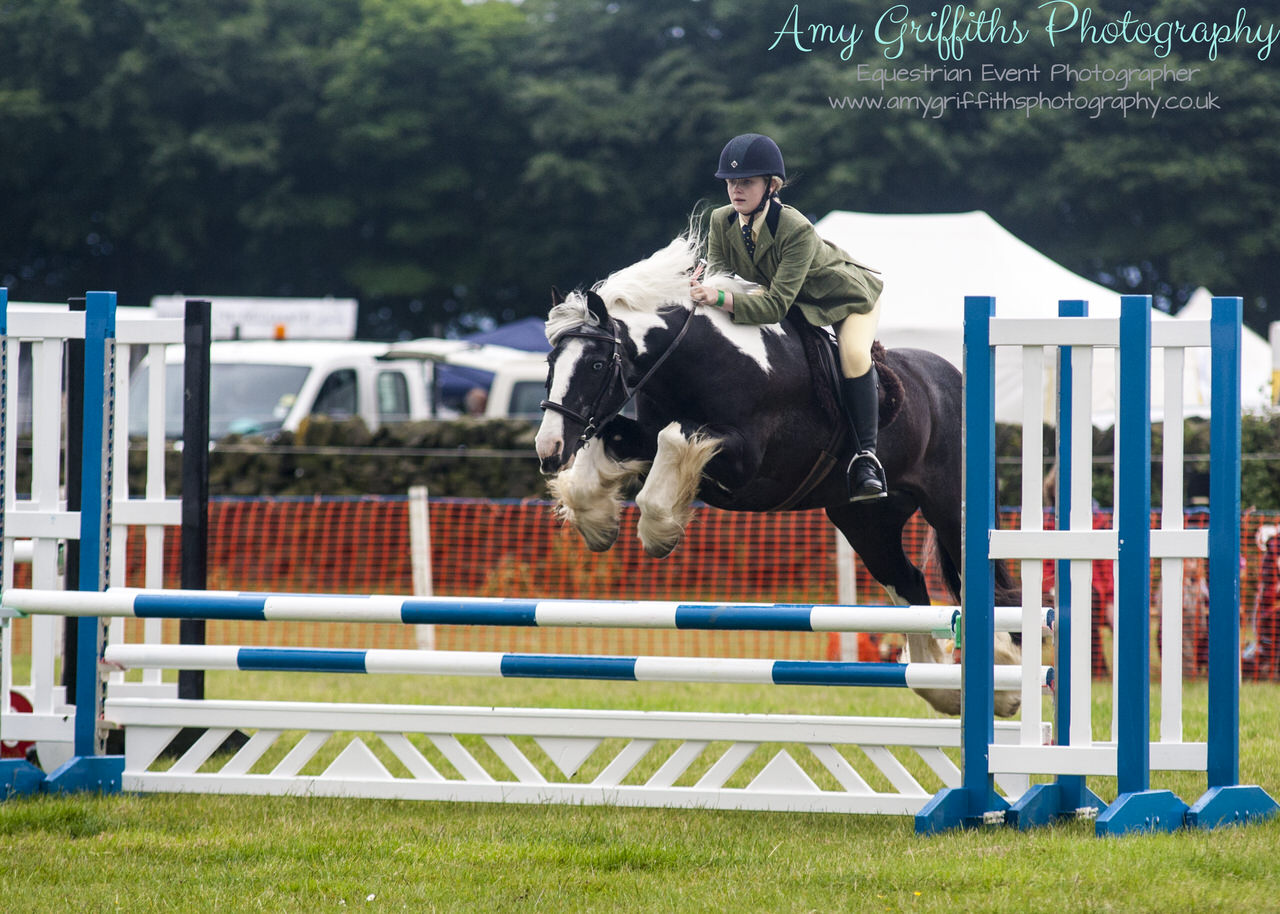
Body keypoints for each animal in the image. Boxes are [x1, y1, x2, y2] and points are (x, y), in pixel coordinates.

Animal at [535, 231, 1024, 716]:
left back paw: (1005, 687)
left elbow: (671, 444)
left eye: (596, 364)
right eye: (550, 363)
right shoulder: (649, 436)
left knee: (990, 590)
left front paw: (660, 532)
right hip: (866, 521)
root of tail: (953, 377)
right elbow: (612, 441)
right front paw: (598, 523)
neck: (700, 361)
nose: (549, 450)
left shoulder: (745, 460)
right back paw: (942, 688)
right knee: (909, 582)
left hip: (950, 508)